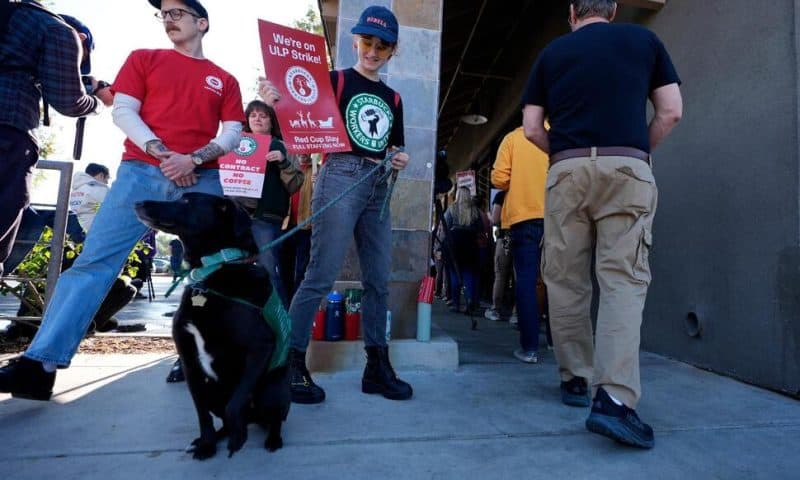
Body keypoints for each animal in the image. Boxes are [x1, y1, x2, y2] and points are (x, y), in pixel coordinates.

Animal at [134, 193, 290, 460]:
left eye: (186, 201)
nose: (137, 203)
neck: (212, 270)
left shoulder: (260, 348)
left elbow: (235, 403)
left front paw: (238, 437)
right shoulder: (190, 363)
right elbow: (202, 414)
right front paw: (207, 444)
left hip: (273, 388)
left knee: (274, 419)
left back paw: (272, 439)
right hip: (213, 390)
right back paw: (216, 436)